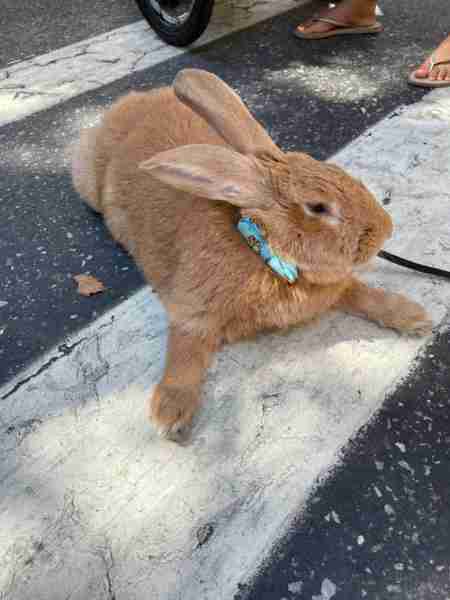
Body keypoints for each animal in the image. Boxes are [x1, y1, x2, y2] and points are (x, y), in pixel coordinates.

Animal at [71, 68, 432, 440]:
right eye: (318, 207)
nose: (386, 230)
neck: (264, 252)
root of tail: (124, 105)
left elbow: (364, 295)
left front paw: (413, 317)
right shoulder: (192, 311)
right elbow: (185, 350)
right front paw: (170, 413)